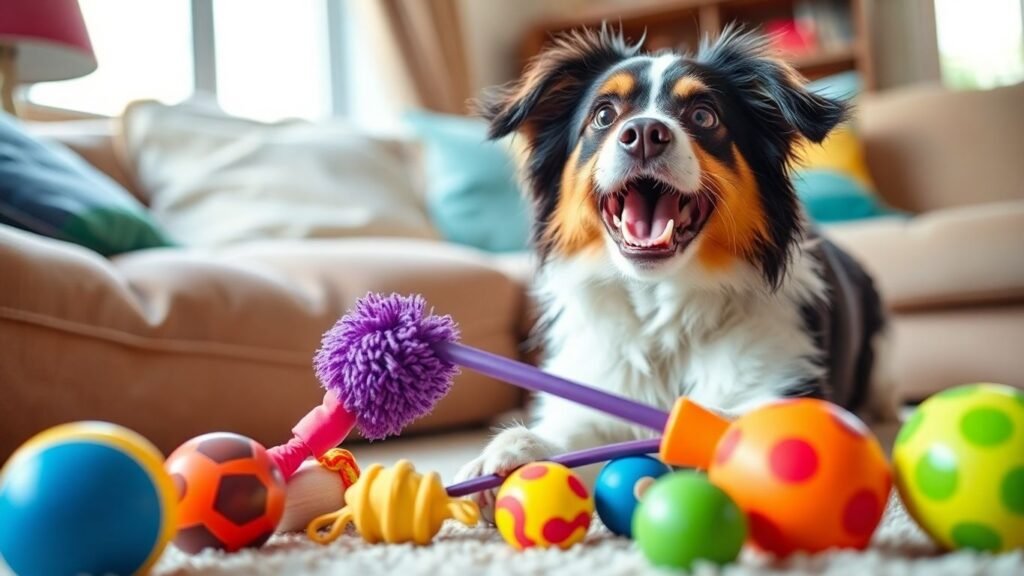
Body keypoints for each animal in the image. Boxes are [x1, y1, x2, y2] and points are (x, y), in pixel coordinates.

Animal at [452, 26, 892, 518]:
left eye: (703, 115)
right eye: (603, 115)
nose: (644, 132)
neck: (661, 308)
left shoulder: (790, 378)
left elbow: (730, 420)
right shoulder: (597, 387)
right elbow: (573, 433)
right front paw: (510, 452)